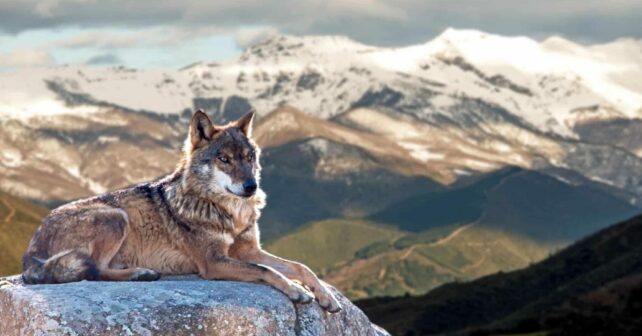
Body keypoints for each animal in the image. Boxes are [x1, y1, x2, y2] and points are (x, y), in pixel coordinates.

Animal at [21, 110, 340, 312]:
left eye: (249, 158)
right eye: (224, 159)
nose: (251, 187)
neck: (229, 213)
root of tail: (29, 252)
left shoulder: (247, 250)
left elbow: (300, 266)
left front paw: (325, 297)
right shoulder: (213, 263)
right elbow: (266, 271)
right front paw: (297, 291)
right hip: (115, 218)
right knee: (94, 270)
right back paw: (141, 273)